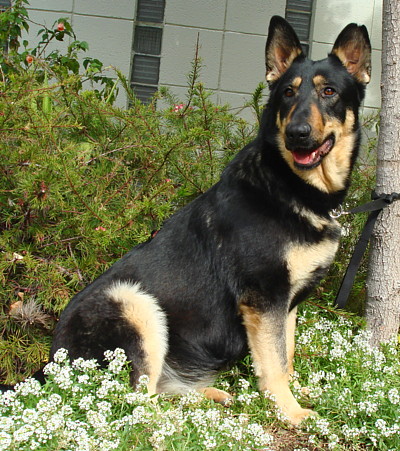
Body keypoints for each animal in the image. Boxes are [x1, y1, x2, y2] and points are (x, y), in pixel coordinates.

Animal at [47, 16, 372, 428]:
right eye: (287, 93)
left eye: (329, 91)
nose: (296, 134)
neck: (290, 188)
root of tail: (49, 368)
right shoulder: (264, 300)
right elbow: (275, 362)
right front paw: (289, 409)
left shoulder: (287, 304)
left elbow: (287, 353)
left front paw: (297, 392)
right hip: (133, 303)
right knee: (136, 404)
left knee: (158, 392)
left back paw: (209, 397)